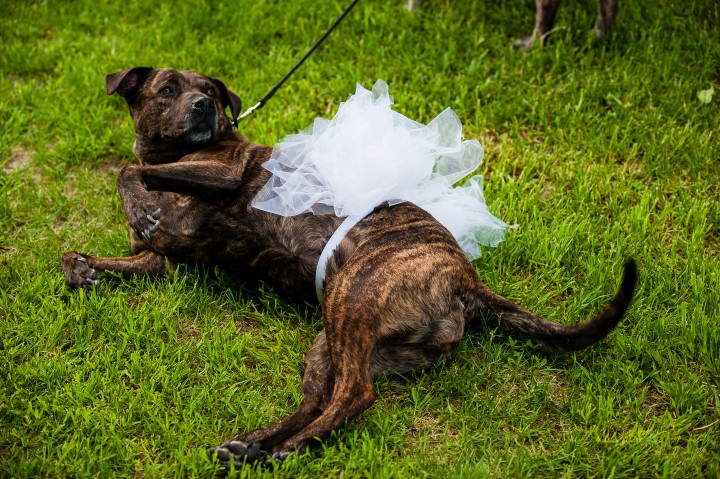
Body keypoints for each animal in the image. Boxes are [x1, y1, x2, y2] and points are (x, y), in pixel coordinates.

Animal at [62, 67, 636, 468]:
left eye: (208, 91)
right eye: (167, 89)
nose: (204, 106)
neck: (172, 156)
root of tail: (466, 280)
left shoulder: (223, 173)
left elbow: (126, 169)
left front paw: (139, 202)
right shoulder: (158, 261)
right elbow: (87, 248)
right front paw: (83, 269)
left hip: (354, 298)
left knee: (357, 395)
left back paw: (284, 449)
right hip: (337, 341)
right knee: (322, 398)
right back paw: (254, 444)